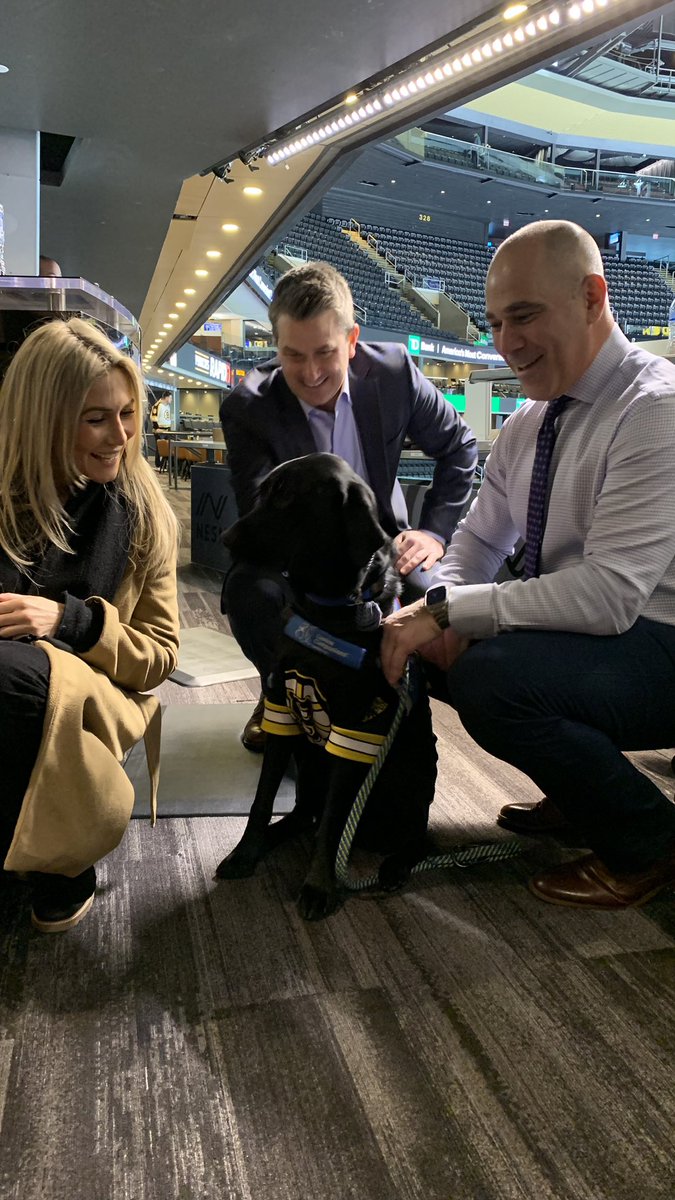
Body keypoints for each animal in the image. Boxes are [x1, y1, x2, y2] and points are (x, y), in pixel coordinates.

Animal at [214, 451, 437, 916]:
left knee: (418, 836)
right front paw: (245, 853)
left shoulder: (354, 734)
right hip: (308, 760)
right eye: (263, 491)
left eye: (286, 498)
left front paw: (319, 886)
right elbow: (262, 801)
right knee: (304, 812)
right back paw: (276, 836)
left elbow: (334, 824)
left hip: (414, 779)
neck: (326, 611)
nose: (225, 537)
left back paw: (395, 866)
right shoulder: (281, 715)